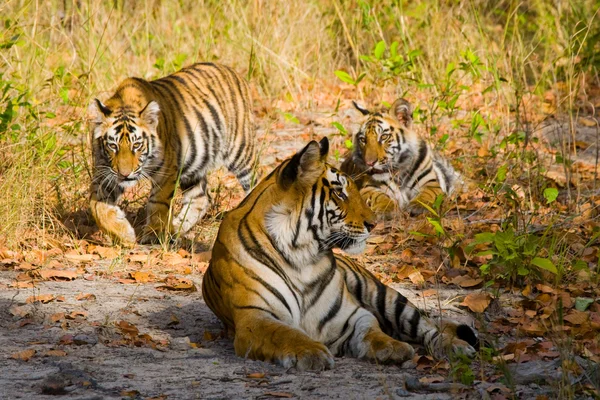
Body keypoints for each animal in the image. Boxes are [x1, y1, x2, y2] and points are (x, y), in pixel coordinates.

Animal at [88, 62, 256, 244]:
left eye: (137, 145)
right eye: (113, 146)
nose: (125, 175)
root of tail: (230, 70)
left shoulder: (166, 170)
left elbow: (158, 203)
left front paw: (154, 235)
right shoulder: (105, 173)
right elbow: (96, 204)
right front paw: (123, 233)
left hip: (240, 152)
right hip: (194, 166)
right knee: (201, 198)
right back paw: (176, 229)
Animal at [202, 136, 478, 370]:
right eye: (339, 192)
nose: (374, 223)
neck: (302, 256)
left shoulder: (352, 314)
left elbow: (372, 331)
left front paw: (392, 347)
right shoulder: (255, 317)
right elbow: (285, 333)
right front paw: (311, 352)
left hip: (386, 296)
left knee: (428, 327)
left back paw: (456, 347)